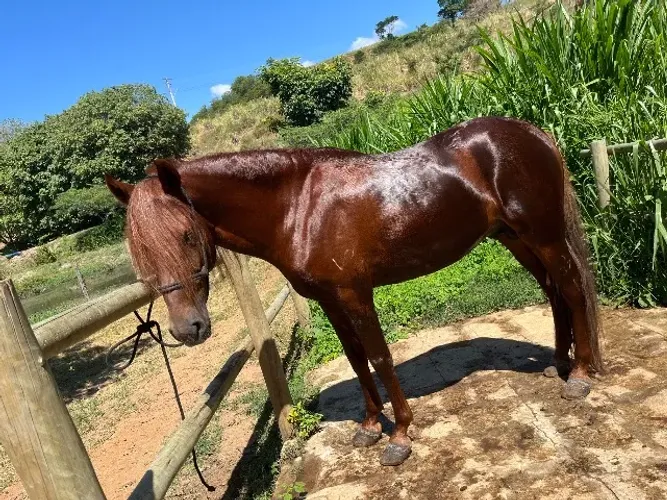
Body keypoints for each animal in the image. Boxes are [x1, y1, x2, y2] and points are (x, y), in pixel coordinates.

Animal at [105, 116, 603, 466]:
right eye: (140, 251)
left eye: (187, 235)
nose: (188, 328)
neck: (299, 206)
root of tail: (532, 132)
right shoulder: (330, 300)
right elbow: (355, 358)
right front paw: (367, 426)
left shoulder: (356, 294)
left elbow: (380, 356)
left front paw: (399, 436)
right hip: (515, 238)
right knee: (554, 292)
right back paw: (559, 364)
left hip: (544, 236)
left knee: (572, 289)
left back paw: (580, 376)